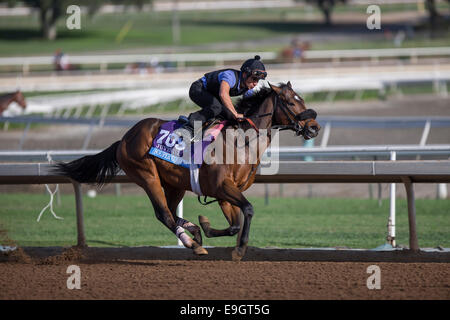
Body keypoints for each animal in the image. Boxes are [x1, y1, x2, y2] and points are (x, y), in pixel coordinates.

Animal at [55, 82, 320, 260]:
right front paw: (239, 249)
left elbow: (235, 223)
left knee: (172, 212)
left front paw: (205, 225)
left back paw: (193, 231)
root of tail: (124, 139)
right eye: (292, 102)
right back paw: (192, 243)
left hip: (175, 184)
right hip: (147, 175)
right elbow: (248, 210)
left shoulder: (225, 194)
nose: (314, 127)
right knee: (164, 214)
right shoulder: (222, 187)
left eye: (302, 99)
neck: (241, 141)